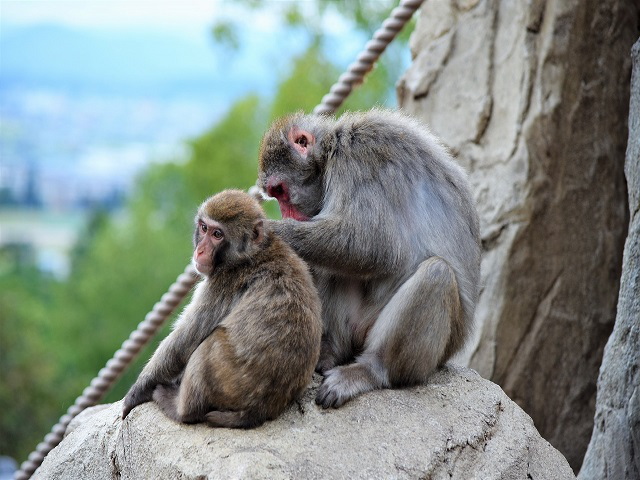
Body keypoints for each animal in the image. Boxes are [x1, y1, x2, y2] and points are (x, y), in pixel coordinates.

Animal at [121, 189, 320, 430]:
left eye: (218, 234)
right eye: (204, 228)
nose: (200, 251)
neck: (248, 255)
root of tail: (258, 411)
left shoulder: (221, 285)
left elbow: (183, 341)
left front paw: (136, 392)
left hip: (232, 383)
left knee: (211, 342)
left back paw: (180, 409)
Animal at [256, 109, 480, 408]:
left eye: (279, 191)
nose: (285, 213)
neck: (330, 149)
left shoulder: (358, 158)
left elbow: (376, 246)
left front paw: (270, 232)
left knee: (437, 274)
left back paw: (370, 370)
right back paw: (329, 351)